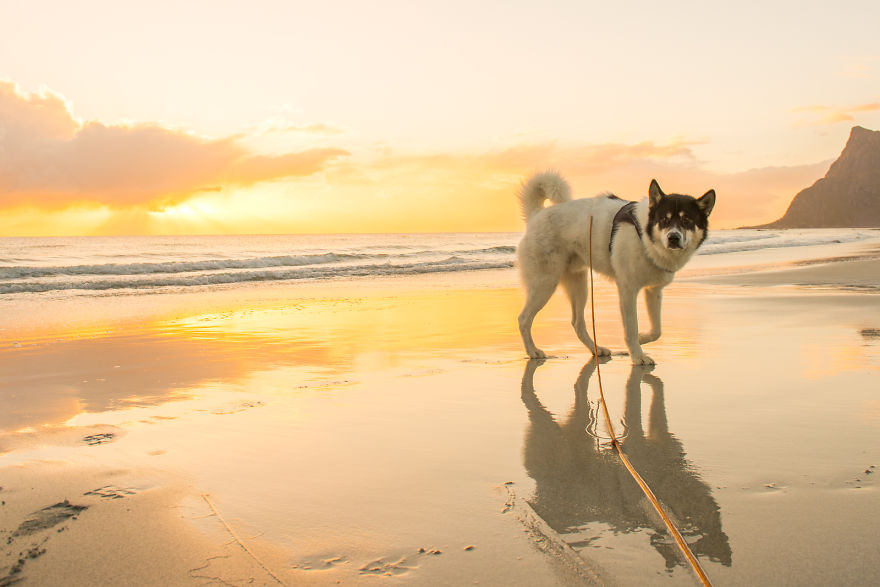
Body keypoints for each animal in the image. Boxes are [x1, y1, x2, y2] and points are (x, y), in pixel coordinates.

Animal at [516, 171, 716, 362]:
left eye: (687, 221)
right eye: (664, 219)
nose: (673, 238)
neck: (644, 236)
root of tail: (536, 215)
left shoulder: (654, 291)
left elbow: (657, 330)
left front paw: (642, 338)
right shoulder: (628, 290)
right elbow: (631, 328)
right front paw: (638, 356)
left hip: (579, 285)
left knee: (577, 323)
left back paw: (596, 350)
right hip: (545, 283)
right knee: (524, 319)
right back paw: (533, 351)